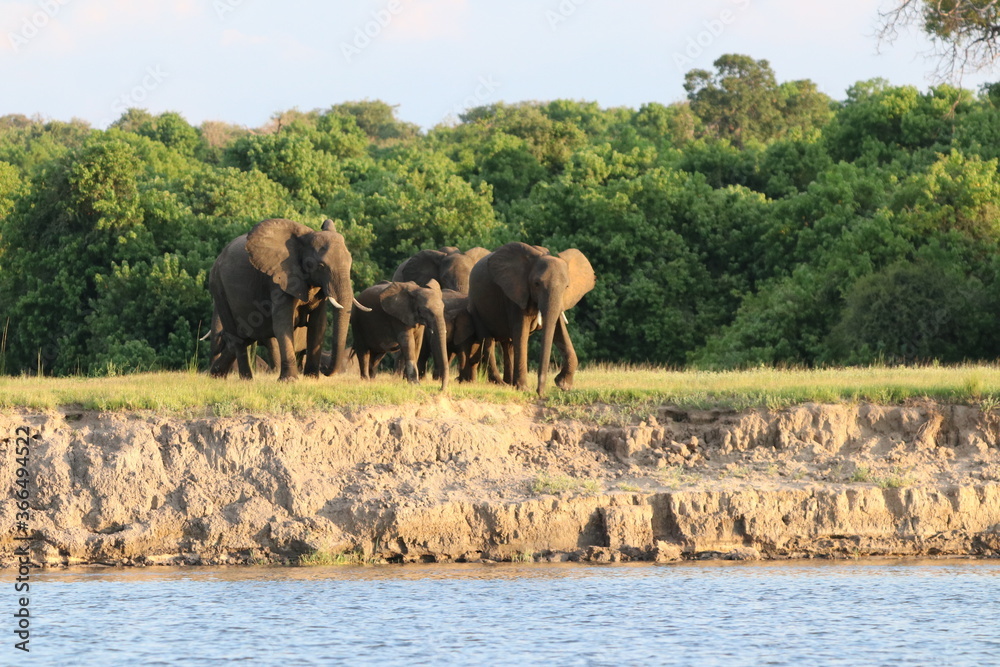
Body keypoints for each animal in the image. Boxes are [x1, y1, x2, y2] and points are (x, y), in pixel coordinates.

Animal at [208, 218, 368, 381]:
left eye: (350, 262)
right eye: (321, 266)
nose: (325, 370)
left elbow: (318, 324)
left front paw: (311, 378)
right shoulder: (278, 279)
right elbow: (282, 323)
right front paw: (289, 380)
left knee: (246, 336)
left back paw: (216, 375)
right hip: (218, 286)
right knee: (237, 337)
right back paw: (245, 379)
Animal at [468, 242, 595, 396]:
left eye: (567, 286)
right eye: (536, 284)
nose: (540, 392)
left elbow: (560, 330)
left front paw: (563, 385)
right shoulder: (515, 295)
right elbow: (521, 332)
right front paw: (524, 389)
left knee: (508, 344)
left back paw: (509, 383)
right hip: (475, 306)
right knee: (488, 341)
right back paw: (501, 383)